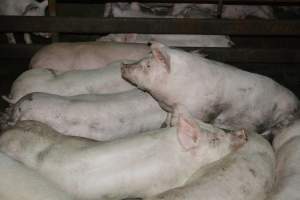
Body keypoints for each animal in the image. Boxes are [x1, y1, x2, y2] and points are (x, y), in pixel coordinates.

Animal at [120, 41, 298, 134]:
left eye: (148, 65)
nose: (123, 66)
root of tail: (297, 101)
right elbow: (169, 117)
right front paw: (164, 125)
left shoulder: (195, 108)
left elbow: (181, 117)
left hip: (284, 114)